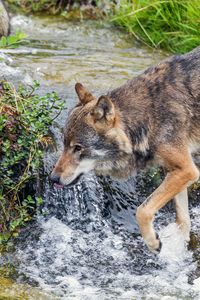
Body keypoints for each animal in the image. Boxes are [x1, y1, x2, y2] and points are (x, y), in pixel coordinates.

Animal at [50, 47, 200, 252]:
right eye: (64, 144)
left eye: (78, 148)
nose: (52, 178)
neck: (149, 116)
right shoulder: (176, 170)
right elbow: (182, 220)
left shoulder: (187, 170)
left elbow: (142, 210)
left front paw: (153, 242)